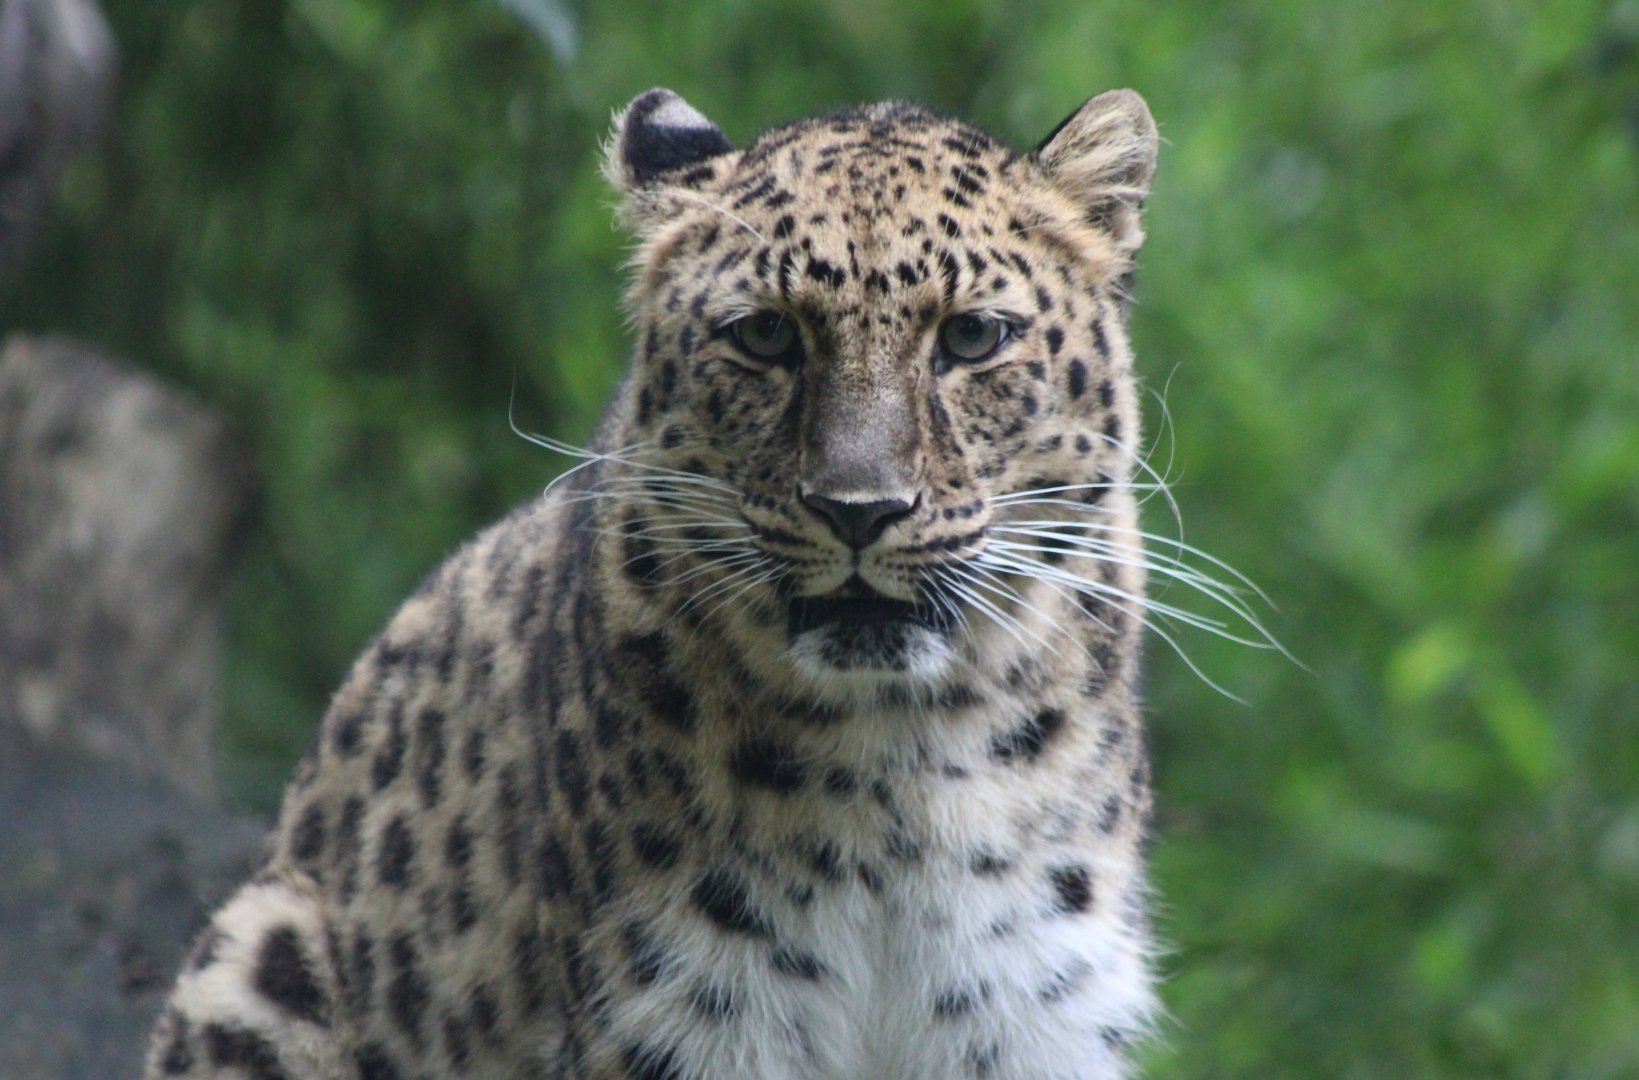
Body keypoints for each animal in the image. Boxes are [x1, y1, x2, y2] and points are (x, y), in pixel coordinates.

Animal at [144, 85, 1170, 1079]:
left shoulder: (1033, 1014)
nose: (859, 509)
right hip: (255, 951)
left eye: (972, 338)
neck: (901, 766)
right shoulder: (683, 1015)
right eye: (765, 336)